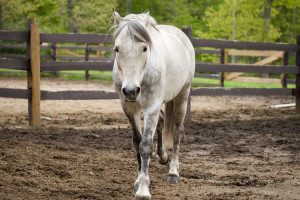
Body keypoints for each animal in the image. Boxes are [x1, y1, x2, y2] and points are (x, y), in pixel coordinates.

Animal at [112, 10, 195, 198]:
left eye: (144, 48)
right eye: (117, 48)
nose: (131, 90)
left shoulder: (151, 108)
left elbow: (145, 145)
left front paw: (143, 190)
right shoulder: (129, 108)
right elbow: (137, 141)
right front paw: (138, 182)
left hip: (182, 96)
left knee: (177, 131)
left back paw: (173, 172)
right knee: (163, 121)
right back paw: (162, 156)